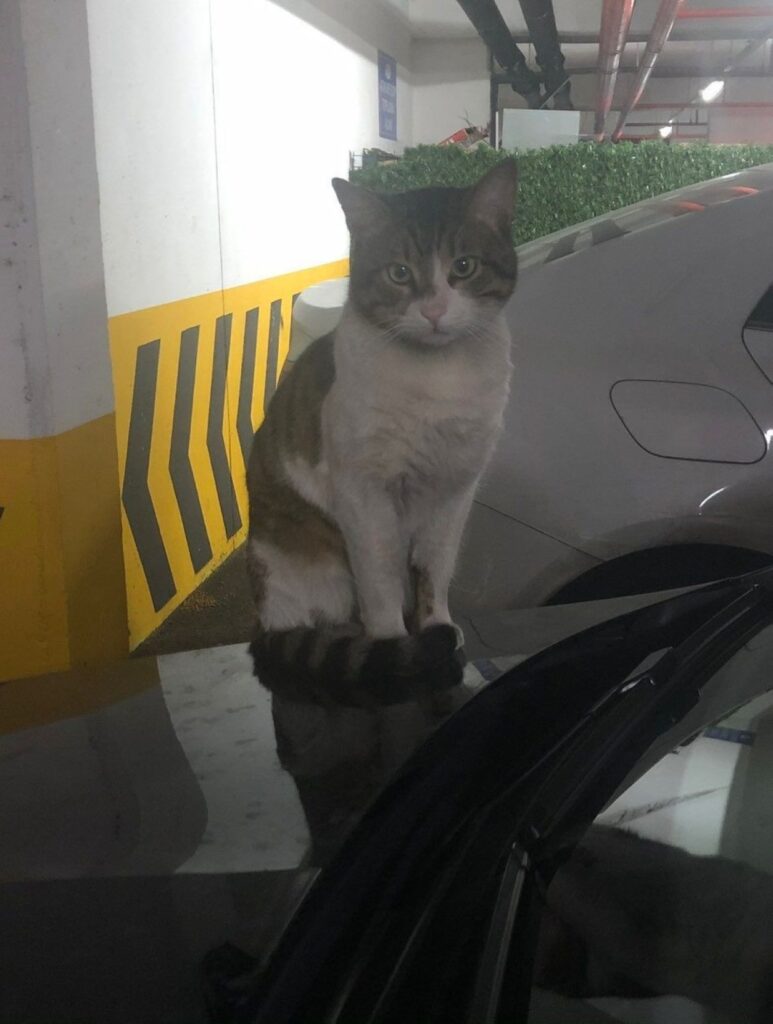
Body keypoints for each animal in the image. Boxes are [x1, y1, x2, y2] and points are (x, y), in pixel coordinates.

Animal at [244, 159, 516, 708]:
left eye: (463, 267)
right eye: (399, 273)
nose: (433, 311)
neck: (439, 380)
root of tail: (263, 623)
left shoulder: (455, 489)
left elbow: (435, 569)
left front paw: (437, 627)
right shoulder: (363, 493)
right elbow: (382, 576)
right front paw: (394, 644)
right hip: (304, 565)